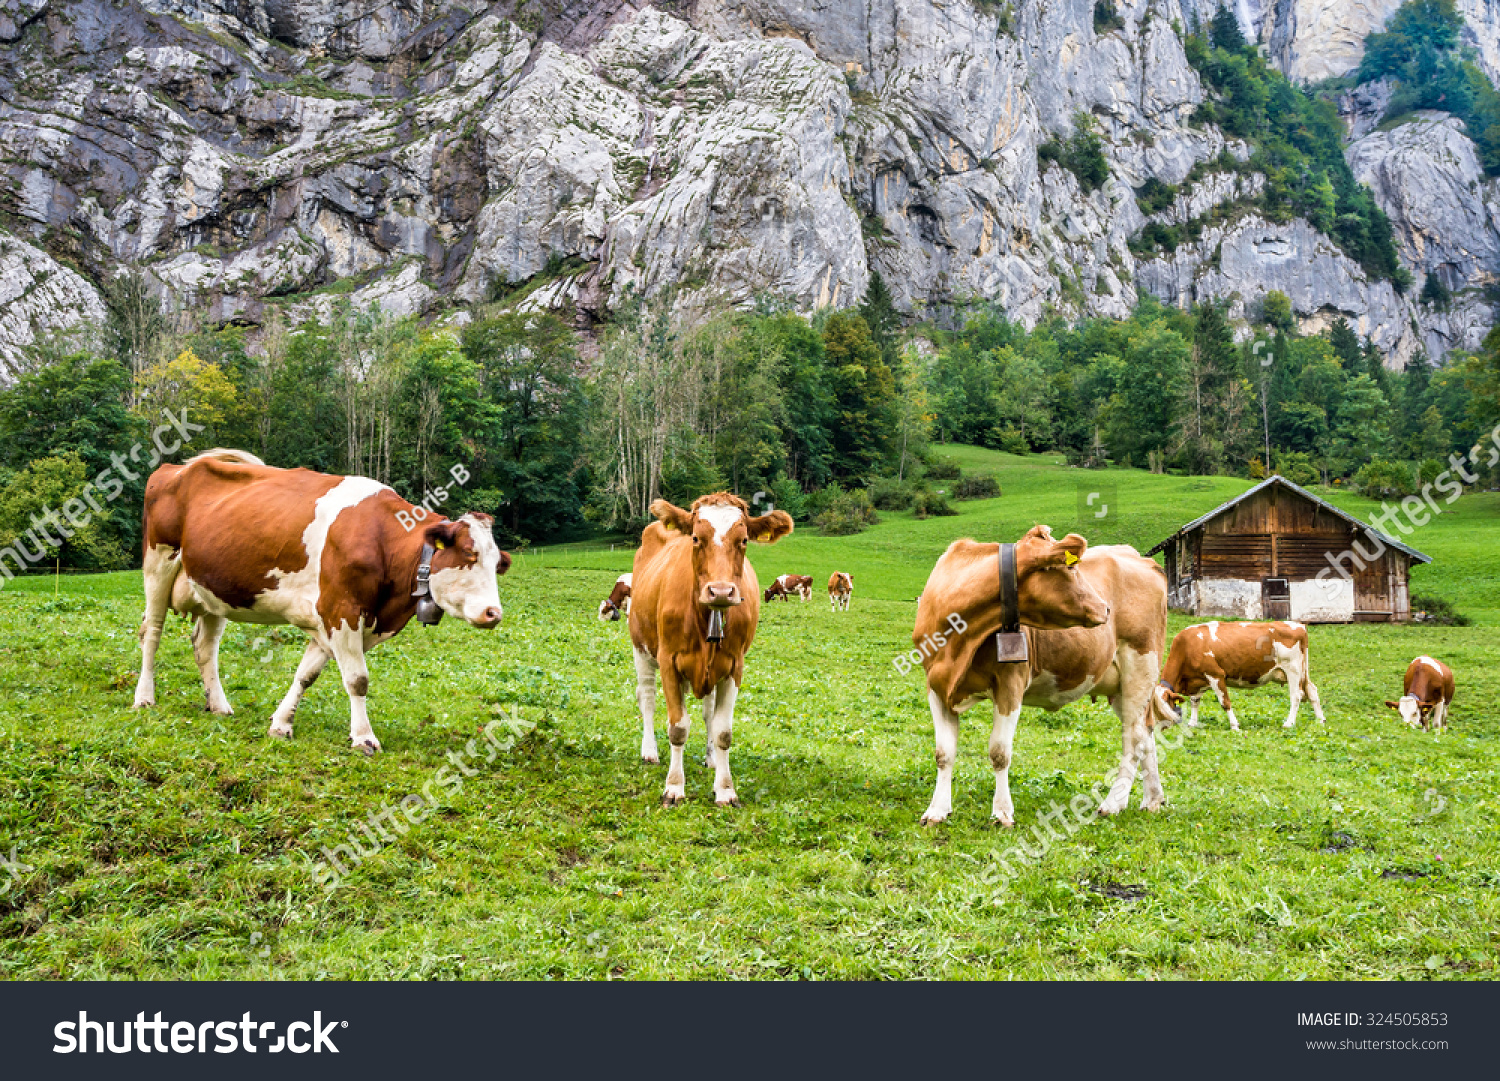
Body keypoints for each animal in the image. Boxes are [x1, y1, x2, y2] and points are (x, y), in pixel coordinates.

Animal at [135, 446, 510, 749]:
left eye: (497, 564)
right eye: (469, 553)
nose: (494, 613)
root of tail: (173, 469)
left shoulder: (330, 618)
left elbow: (306, 674)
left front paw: (281, 724)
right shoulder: (341, 610)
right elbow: (358, 680)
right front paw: (363, 737)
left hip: (212, 588)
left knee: (205, 647)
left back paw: (219, 705)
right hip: (158, 564)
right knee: (151, 632)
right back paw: (144, 698)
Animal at [630, 494, 798, 803]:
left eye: (744, 540)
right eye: (696, 538)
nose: (720, 591)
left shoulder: (734, 666)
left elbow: (722, 731)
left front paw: (725, 789)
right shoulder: (668, 660)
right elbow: (678, 727)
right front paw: (674, 786)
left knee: (708, 712)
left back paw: (710, 758)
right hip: (641, 647)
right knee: (646, 698)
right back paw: (649, 751)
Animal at [906, 527, 1176, 821]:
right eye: (1070, 569)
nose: (1105, 607)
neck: (958, 644)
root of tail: (1140, 558)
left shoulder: (1010, 684)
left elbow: (999, 752)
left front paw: (1002, 812)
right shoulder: (936, 686)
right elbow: (943, 753)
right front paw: (937, 810)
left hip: (1140, 664)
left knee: (1134, 736)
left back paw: (1113, 803)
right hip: (1119, 687)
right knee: (1146, 732)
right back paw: (1153, 799)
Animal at [1158, 620, 1326, 728]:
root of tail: (1298, 625)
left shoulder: (1215, 675)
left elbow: (1225, 702)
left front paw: (1234, 725)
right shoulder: (1198, 680)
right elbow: (1195, 701)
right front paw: (1192, 723)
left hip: (1292, 669)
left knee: (1296, 695)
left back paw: (1289, 723)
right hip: (1303, 671)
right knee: (1312, 691)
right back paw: (1320, 720)